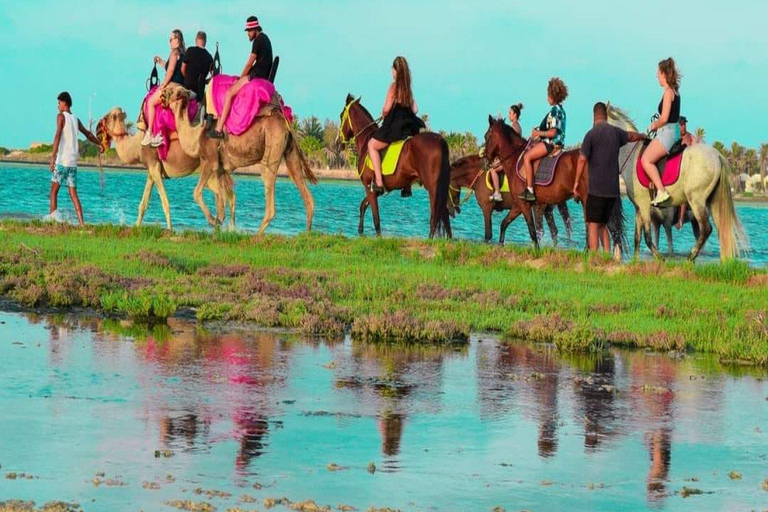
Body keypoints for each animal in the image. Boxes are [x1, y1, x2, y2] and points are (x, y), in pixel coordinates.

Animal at [97, 108, 234, 230]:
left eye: (107, 117)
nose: (98, 128)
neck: (137, 146)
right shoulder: (151, 170)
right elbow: (143, 203)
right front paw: (136, 226)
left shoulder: (154, 165)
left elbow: (164, 201)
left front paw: (170, 229)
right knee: (227, 193)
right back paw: (224, 224)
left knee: (222, 192)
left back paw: (218, 221)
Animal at [169, 88, 318, 236]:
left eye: (170, 92)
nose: (163, 96)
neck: (196, 135)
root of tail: (286, 124)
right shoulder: (220, 168)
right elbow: (221, 199)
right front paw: (218, 223)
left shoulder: (210, 160)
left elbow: (197, 192)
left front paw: (212, 220)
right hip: (291, 152)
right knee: (305, 191)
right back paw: (307, 234)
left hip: (273, 144)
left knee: (269, 189)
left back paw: (257, 235)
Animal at [340, 94, 452, 238]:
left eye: (341, 115)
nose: (340, 141)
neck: (366, 142)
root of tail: (440, 141)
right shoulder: (376, 190)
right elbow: (363, 205)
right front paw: (361, 232)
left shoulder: (369, 187)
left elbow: (375, 216)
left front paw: (378, 237)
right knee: (445, 215)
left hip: (433, 187)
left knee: (435, 214)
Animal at [480, 118, 588, 250]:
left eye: (486, 136)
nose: (485, 160)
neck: (514, 159)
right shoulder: (518, 205)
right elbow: (504, 223)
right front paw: (500, 244)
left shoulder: (524, 205)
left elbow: (532, 231)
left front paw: (537, 250)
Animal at [608, 105, 744, 262]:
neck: (631, 155)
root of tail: (716, 156)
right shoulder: (638, 208)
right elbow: (638, 237)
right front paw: (635, 261)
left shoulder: (645, 206)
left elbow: (648, 237)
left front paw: (660, 258)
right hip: (713, 203)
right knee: (720, 230)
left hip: (696, 201)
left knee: (706, 229)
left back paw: (690, 258)